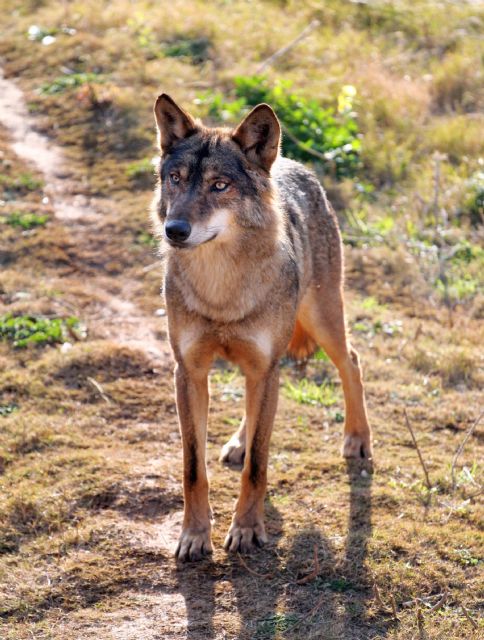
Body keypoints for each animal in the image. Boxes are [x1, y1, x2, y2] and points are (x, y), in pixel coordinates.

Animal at [151, 94, 372, 562]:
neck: (221, 290)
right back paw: (239, 441)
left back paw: (357, 439)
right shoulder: (189, 373)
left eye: (220, 185)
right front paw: (194, 535)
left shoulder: (264, 367)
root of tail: (292, 163)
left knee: (352, 362)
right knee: (255, 414)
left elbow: (258, 466)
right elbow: (193, 468)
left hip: (323, 320)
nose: (174, 230)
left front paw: (248, 529)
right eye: (176, 179)